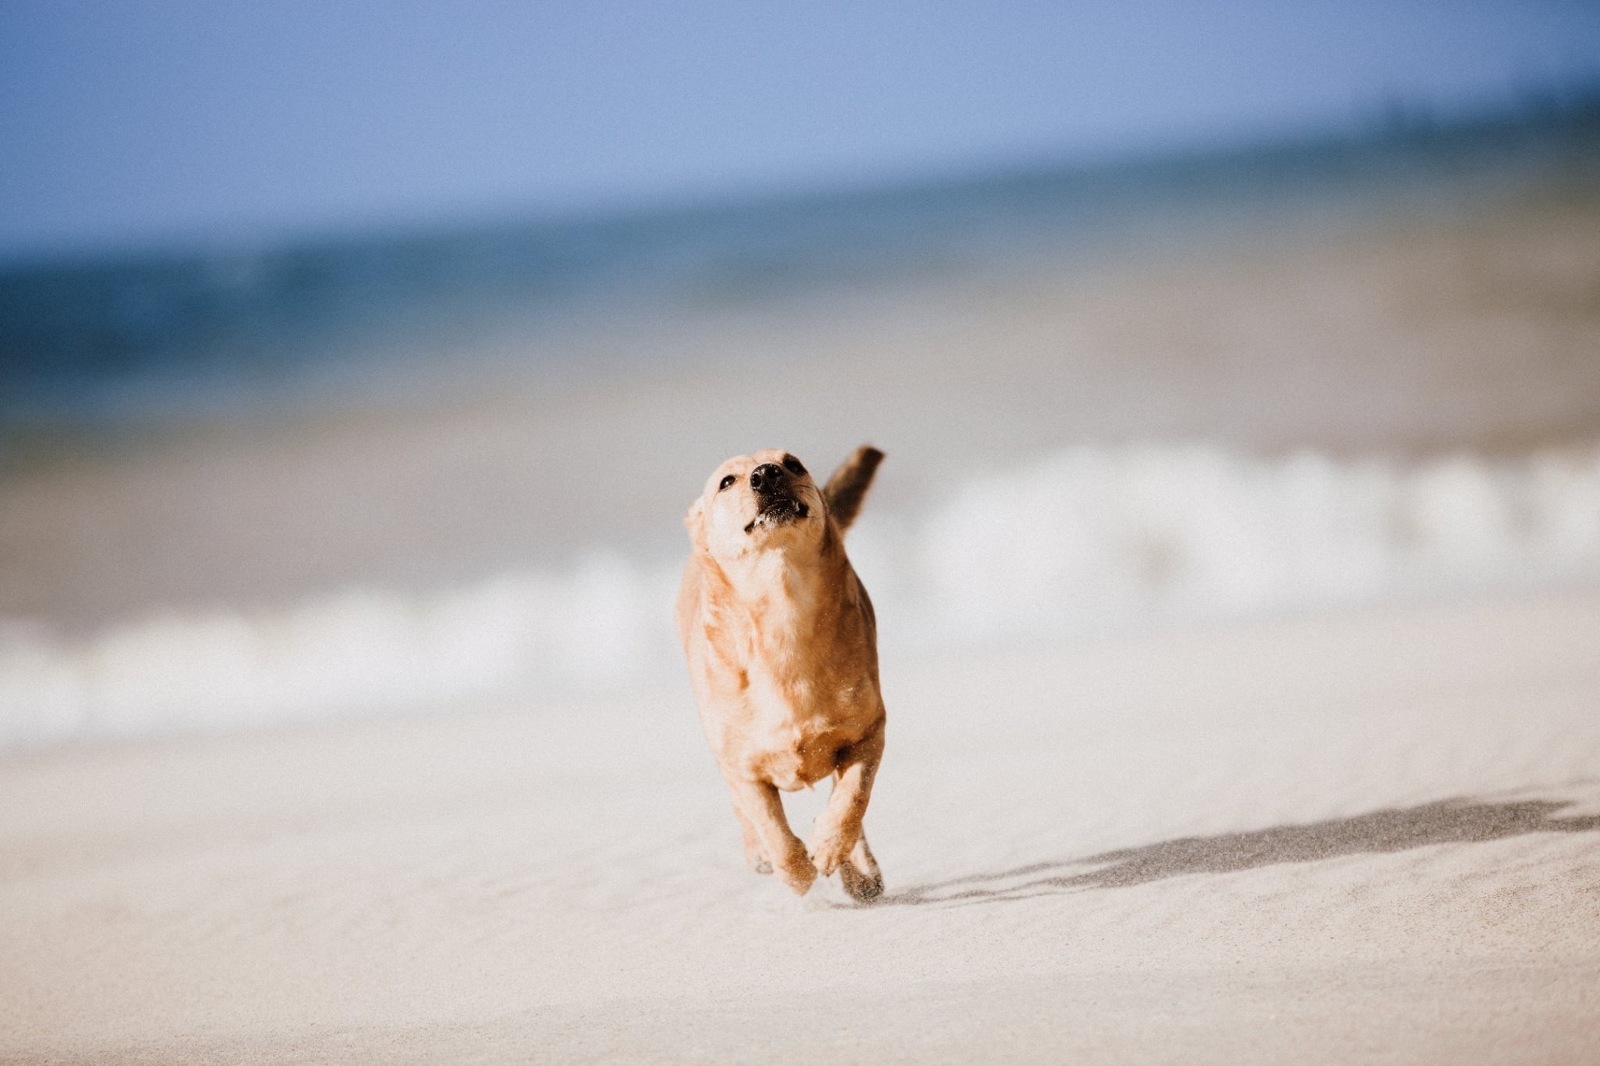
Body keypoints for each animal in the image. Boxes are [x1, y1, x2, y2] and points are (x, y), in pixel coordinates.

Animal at [675, 438, 889, 896]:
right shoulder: (744, 768)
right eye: (727, 482)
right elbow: (773, 829)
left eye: (793, 464)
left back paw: (857, 868)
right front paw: (796, 872)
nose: (766, 474)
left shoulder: (868, 733)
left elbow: (852, 798)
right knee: (743, 811)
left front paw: (830, 847)